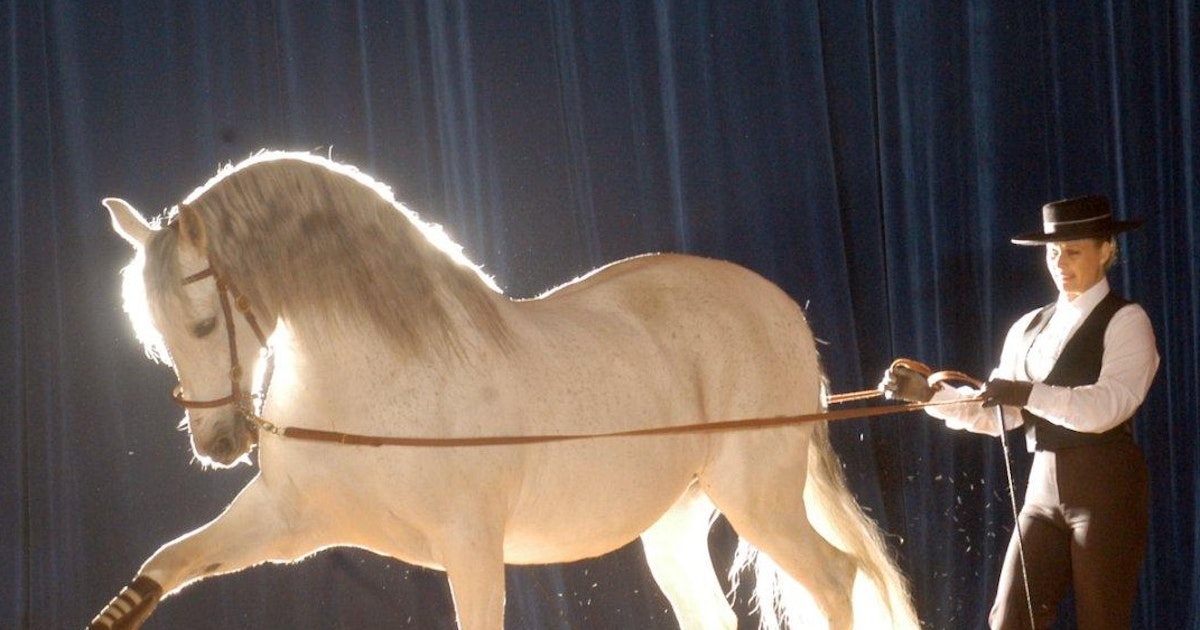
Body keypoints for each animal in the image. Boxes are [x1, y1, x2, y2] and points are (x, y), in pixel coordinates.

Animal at [88, 151, 917, 630]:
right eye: (153, 331)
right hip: (678, 525)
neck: (374, 389)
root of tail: (780, 309)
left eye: (202, 323)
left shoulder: (472, 546)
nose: (218, 444)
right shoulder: (287, 521)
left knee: (834, 577)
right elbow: (167, 564)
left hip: (758, 496)